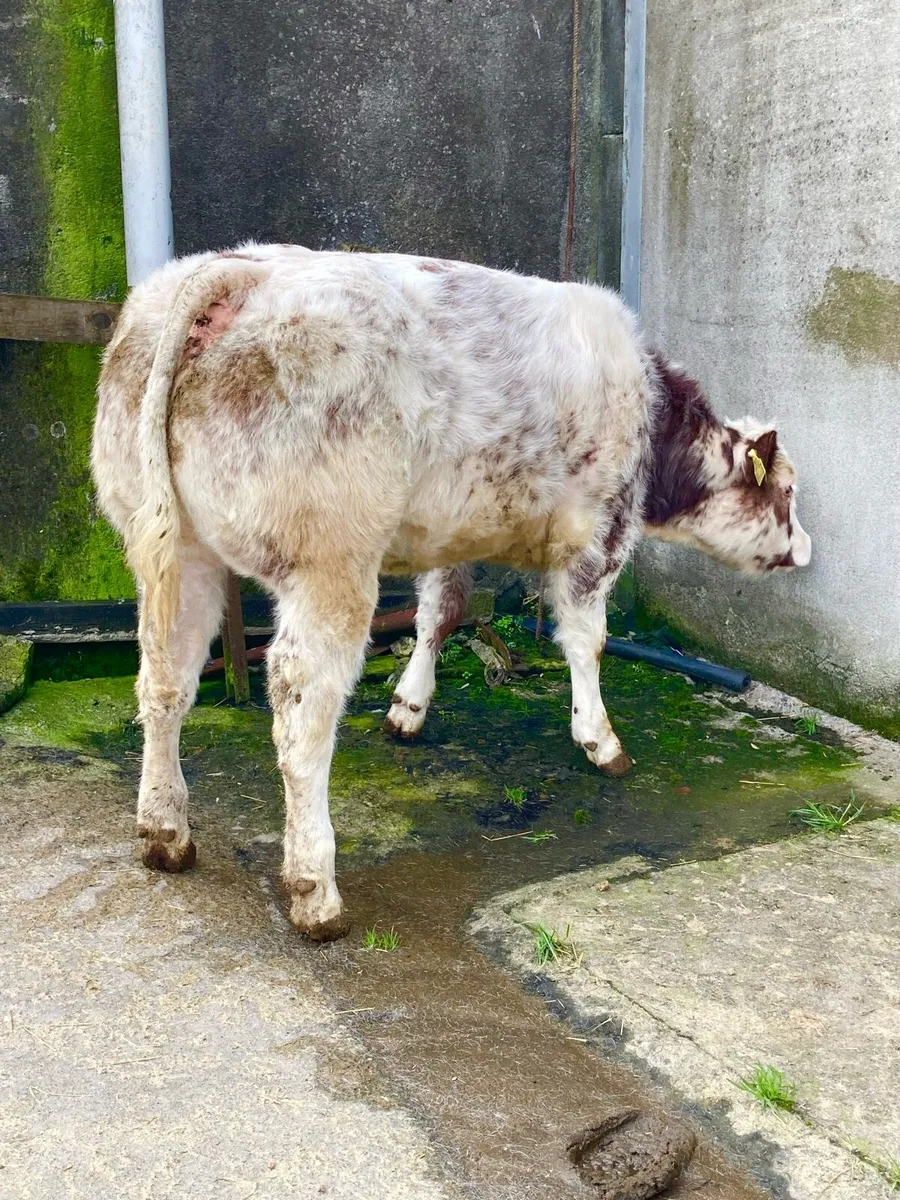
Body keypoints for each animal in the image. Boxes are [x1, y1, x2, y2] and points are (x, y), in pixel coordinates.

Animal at [92, 244, 811, 940]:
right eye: (786, 492)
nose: (804, 550)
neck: (651, 415)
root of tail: (237, 273)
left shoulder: (452, 535)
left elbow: (440, 612)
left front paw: (408, 707)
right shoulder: (597, 535)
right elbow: (587, 641)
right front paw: (599, 739)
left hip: (180, 552)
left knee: (165, 680)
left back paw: (165, 832)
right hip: (330, 565)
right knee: (302, 715)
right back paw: (314, 891)